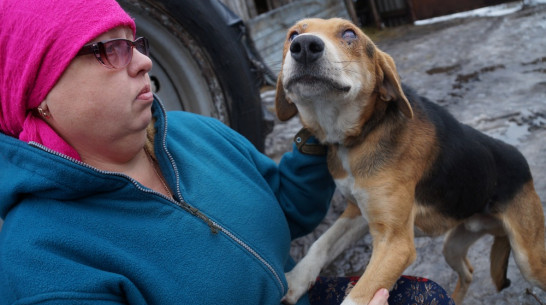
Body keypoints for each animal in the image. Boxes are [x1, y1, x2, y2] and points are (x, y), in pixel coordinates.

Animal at [276, 17, 544, 302]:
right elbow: (321, 244)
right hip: (453, 243)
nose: (303, 46)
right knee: (468, 272)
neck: (360, 135)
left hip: (529, 260)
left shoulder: (396, 244)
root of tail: (522, 163)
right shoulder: (357, 211)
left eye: (349, 34)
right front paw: (295, 280)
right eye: (293, 34)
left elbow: (356, 297)